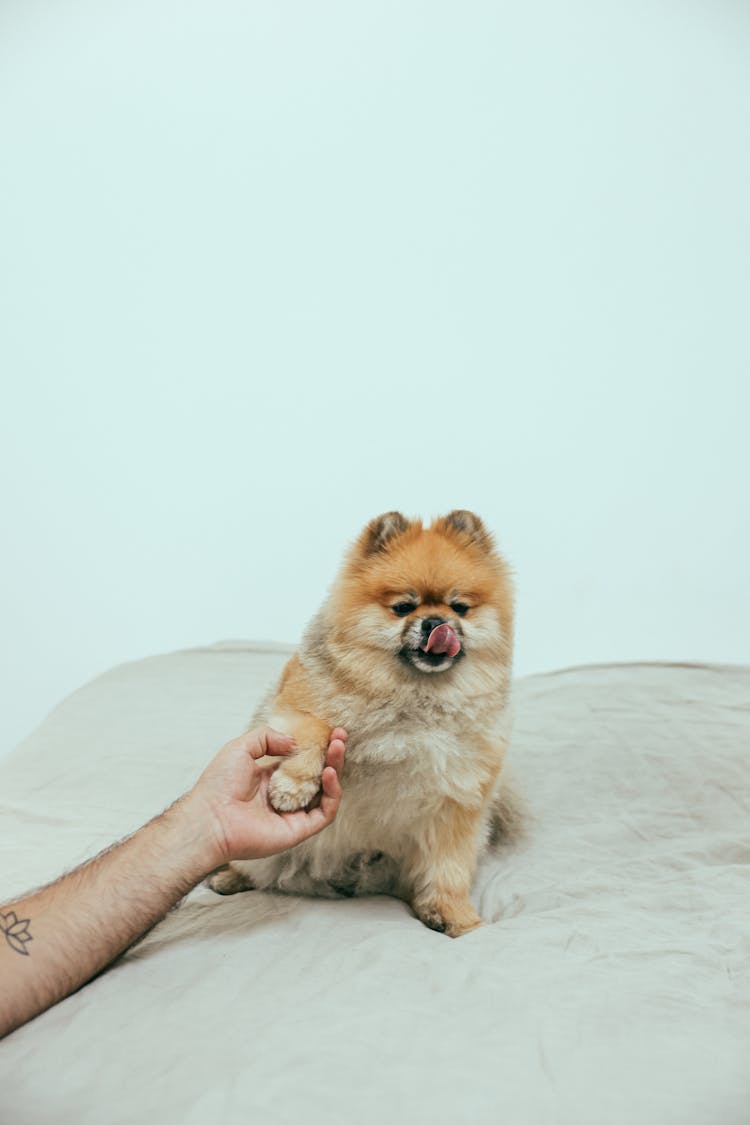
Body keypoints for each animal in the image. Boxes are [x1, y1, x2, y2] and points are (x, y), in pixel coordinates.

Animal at [208, 515, 519, 936]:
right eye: (402, 607)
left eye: (460, 607)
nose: (437, 623)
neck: (416, 697)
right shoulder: (292, 705)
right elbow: (315, 731)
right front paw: (293, 787)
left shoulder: (456, 807)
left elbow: (447, 869)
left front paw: (456, 917)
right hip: (261, 853)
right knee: (250, 864)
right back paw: (229, 878)